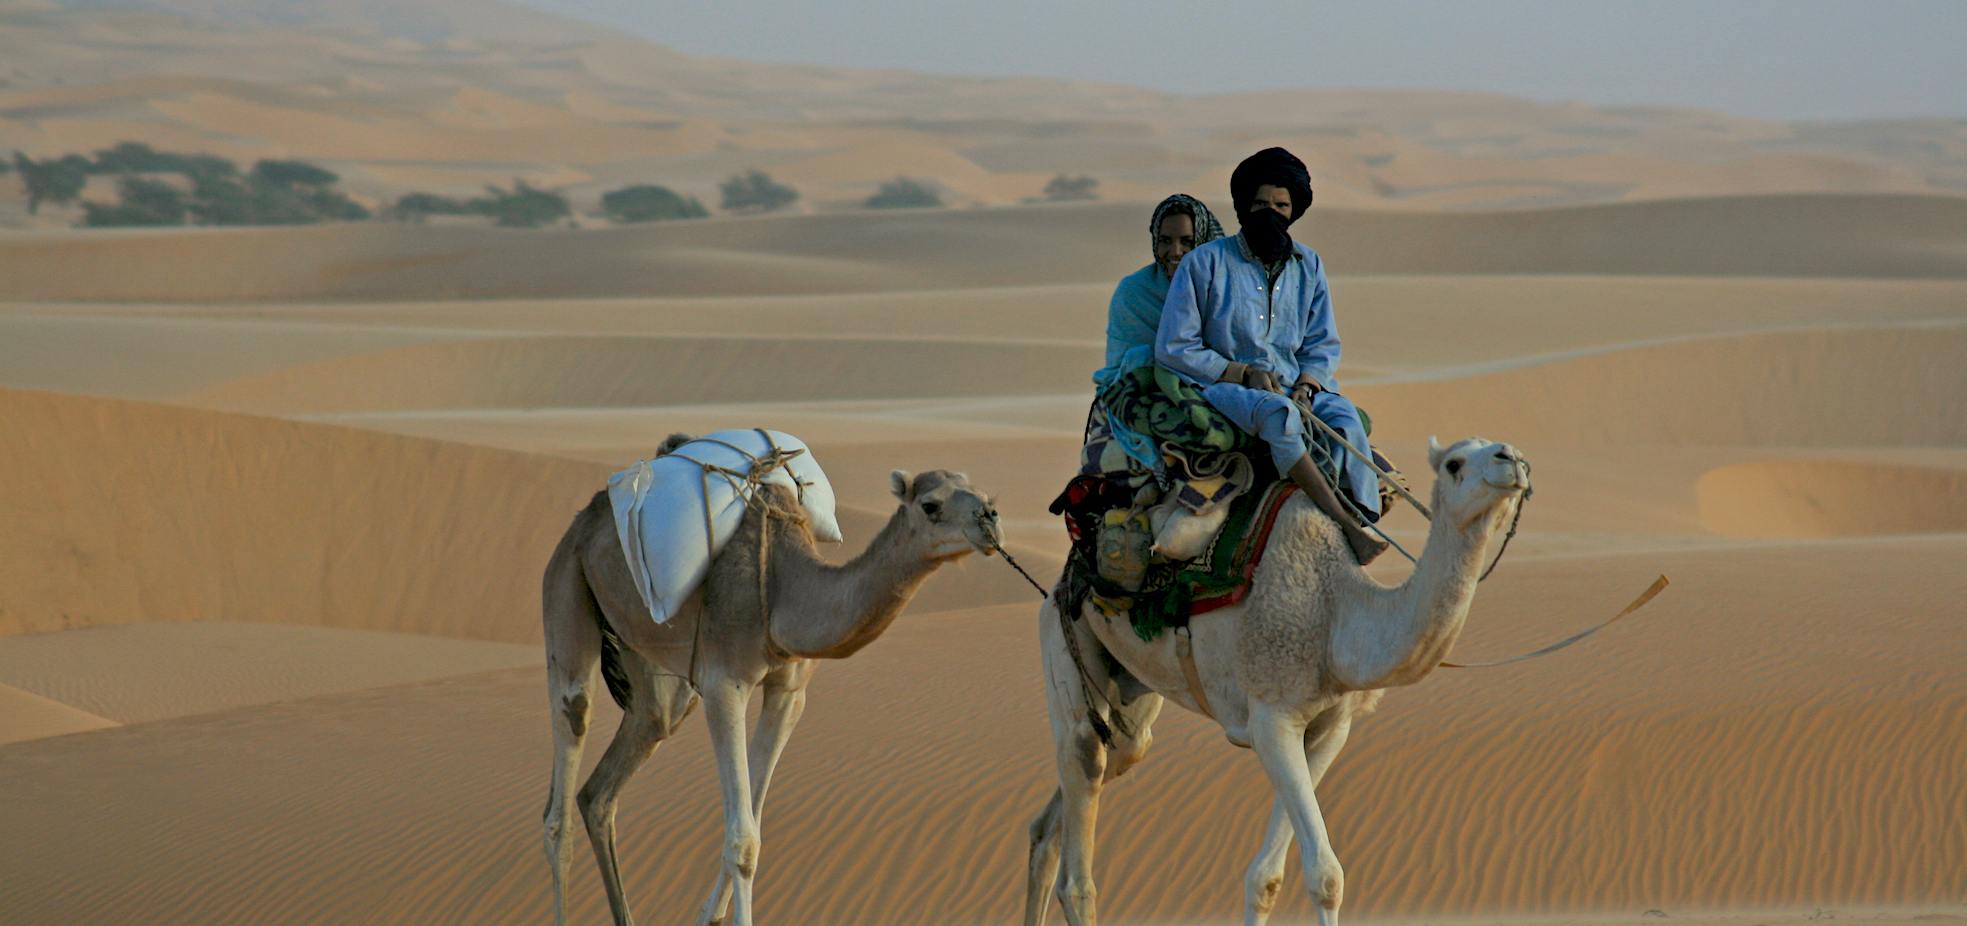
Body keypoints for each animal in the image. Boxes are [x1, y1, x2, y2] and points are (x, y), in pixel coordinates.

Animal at [538, 450, 999, 926]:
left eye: (986, 495)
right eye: (930, 504)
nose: (989, 519)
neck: (782, 588)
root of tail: (585, 518)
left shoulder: (789, 691)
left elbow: (753, 824)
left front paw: (708, 916)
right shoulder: (724, 684)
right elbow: (742, 842)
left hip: (649, 660)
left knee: (608, 781)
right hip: (567, 578)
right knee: (564, 776)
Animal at [1030, 436, 1534, 926]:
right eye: (1454, 463)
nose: (1512, 459)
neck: (1335, 614)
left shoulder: (1330, 728)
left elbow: (1266, 877)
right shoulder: (1272, 718)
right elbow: (1324, 874)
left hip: (1133, 690)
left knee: (1076, 796)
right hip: (1066, 631)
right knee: (1082, 782)